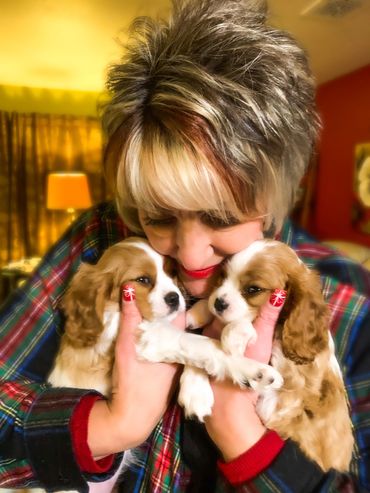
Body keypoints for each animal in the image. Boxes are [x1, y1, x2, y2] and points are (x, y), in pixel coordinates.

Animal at [178, 240, 352, 470]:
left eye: (253, 289)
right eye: (222, 277)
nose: (218, 303)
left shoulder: (286, 395)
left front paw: (233, 335)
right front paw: (195, 391)